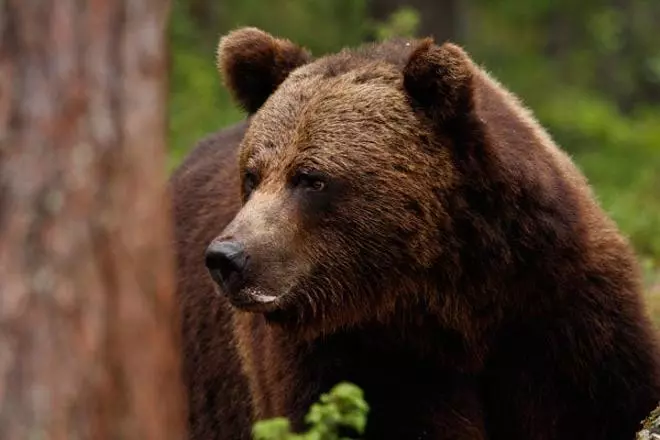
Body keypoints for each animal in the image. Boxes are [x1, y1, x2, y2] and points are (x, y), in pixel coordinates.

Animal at [170, 27, 660, 440]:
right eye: (252, 176)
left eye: (311, 179)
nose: (227, 257)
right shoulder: (355, 357)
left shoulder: (558, 308)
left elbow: (598, 403)